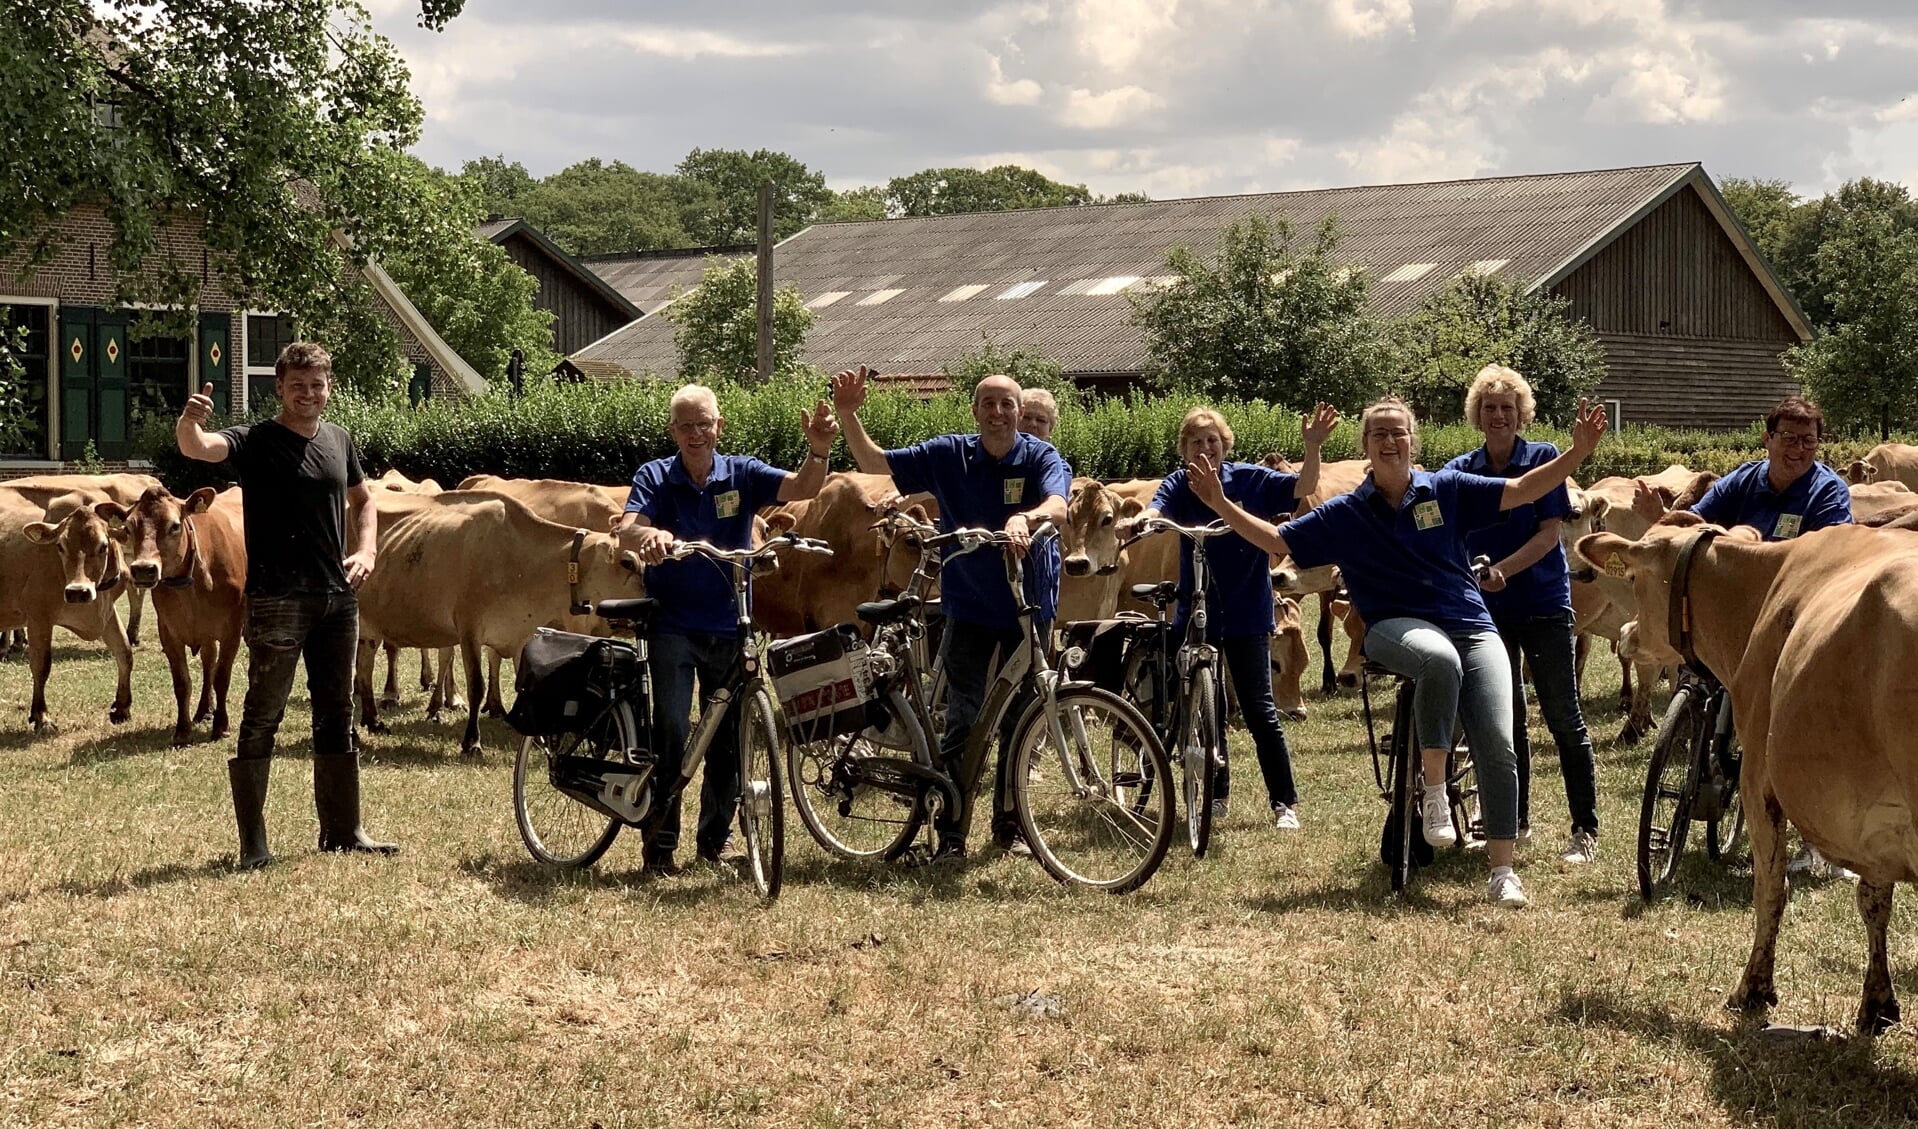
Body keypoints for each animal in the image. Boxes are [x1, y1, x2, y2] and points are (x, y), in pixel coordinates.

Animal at [0, 490, 134, 732]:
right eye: (60, 546)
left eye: (103, 546)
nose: (77, 592)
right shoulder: (39, 616)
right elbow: (41, 665)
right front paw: (41, 716)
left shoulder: (107, 612)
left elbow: (124, 653)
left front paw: (122, 708)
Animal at [114, 486, 247, 743]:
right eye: (128, 527)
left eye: (174, 525)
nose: (143, 569)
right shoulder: (168, 632)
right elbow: (182, 682)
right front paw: (183, 731)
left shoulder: (232, 631)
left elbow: (222, 677)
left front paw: (222, 726)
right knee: (208, 660)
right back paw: (204, 709)